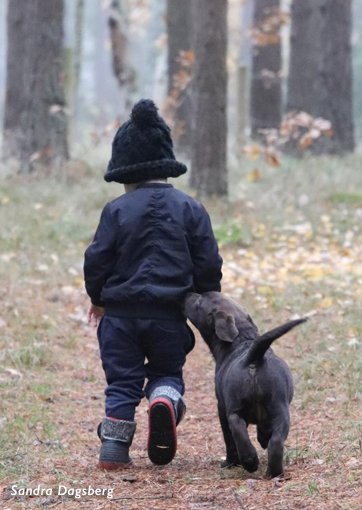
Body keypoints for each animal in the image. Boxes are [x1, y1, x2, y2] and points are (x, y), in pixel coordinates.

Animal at [185, 290, 306, 478]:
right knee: (276, 441)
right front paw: (262, 439)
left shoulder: (221, 406)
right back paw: (273, 471)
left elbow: (229, 438)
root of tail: (255, 357)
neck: (242, 338)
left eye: (198, 303)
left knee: (236, 428)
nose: (187, 293)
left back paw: (249, 461)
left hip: (234, 407)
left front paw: (230, 463)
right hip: (280, 407)